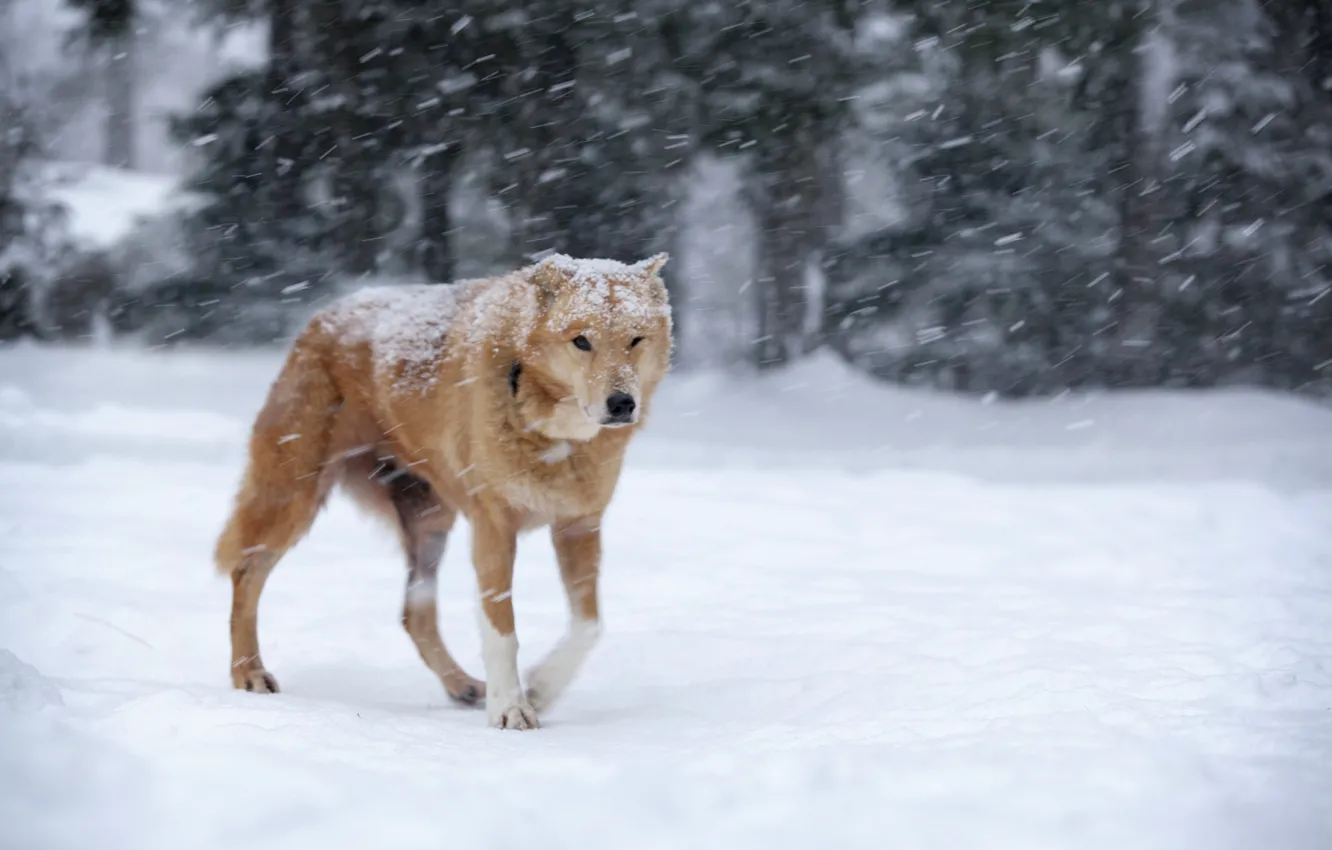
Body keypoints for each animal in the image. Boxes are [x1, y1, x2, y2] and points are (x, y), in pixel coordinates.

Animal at [218, 253, 676, 735]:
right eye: (581, 341)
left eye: (635, 339)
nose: (622, 404)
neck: (553, 434)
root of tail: (323, 315)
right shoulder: (494, 527)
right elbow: (502, 630)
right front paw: (510, 709)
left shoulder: (579, 524)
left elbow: (588, 624)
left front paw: (539, 689)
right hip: (293, 497)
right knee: (246, 573)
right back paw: (249, 673)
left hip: (431, 522)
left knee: (414, 614)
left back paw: (463, 687)